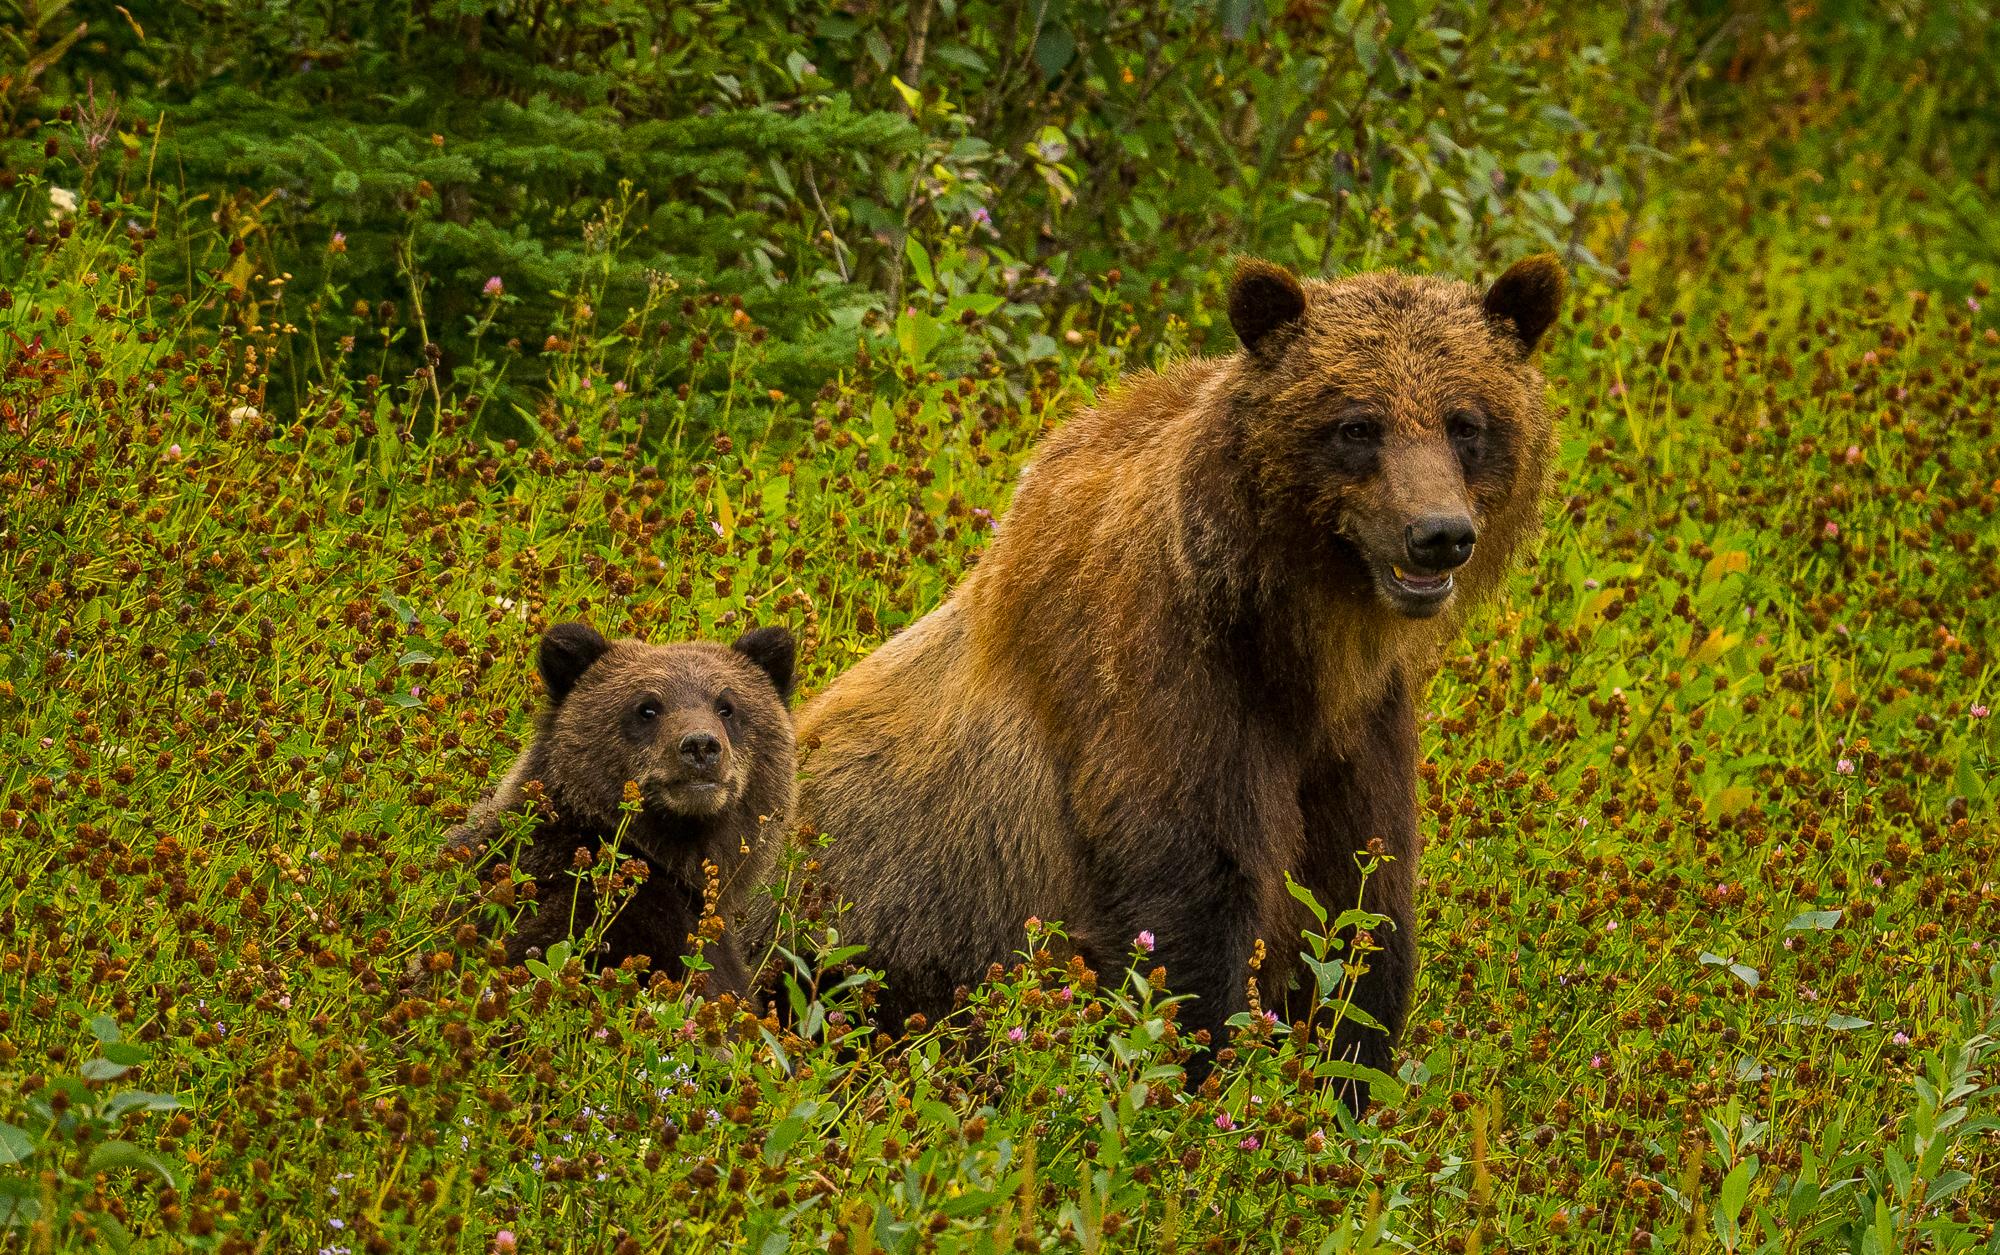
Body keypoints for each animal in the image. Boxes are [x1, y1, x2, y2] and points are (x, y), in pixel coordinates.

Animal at [777, 254, 1564, 1105]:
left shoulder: (1362, 728)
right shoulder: (1161, 677)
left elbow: (1362, 904)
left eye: (1466, 422)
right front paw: (1204, 1078)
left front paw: (1350, 1079)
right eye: (1357, 424)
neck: (1295, 639)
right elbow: (1194, 898)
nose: (1438, 534)